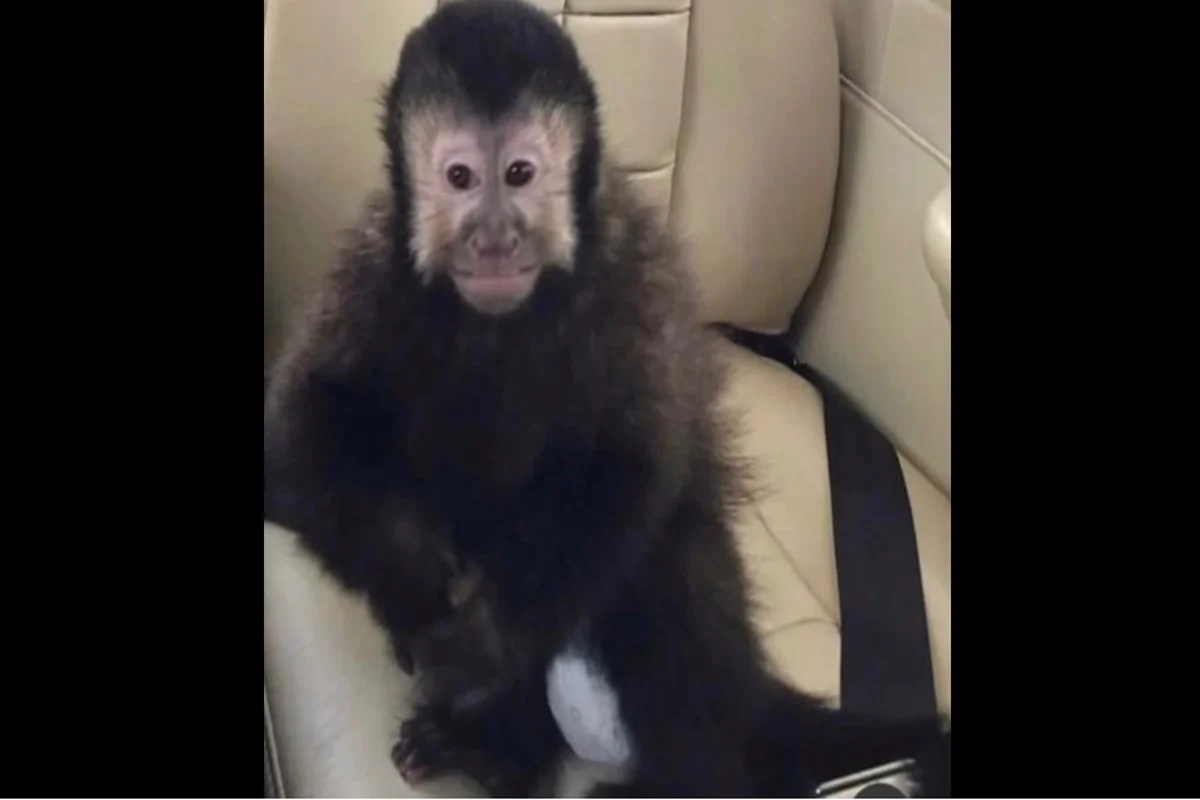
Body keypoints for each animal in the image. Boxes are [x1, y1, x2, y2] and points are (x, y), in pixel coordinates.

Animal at [262, 0, 951, 796]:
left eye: (520, 174)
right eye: (460, 177)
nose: (494, 237)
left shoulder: (630, 276)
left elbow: (632, 470)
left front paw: (488, 638)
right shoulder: (374, 268)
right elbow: (304, 424)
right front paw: (416, 580)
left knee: (669, 572)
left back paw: (640, 764)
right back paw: (501, 740)